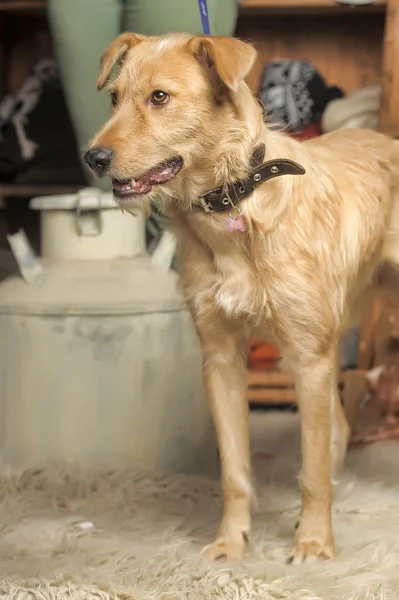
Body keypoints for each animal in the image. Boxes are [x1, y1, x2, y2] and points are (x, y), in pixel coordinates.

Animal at [84, 32, 399, 564]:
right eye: (114, 99)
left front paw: (313, 541)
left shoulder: (310, 361)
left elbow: (312, 471)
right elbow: (235, 470)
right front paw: (232, 542)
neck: (233, 203)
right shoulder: (222, 359)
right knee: (338, 428)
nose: (94, 159)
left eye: (160, 97)